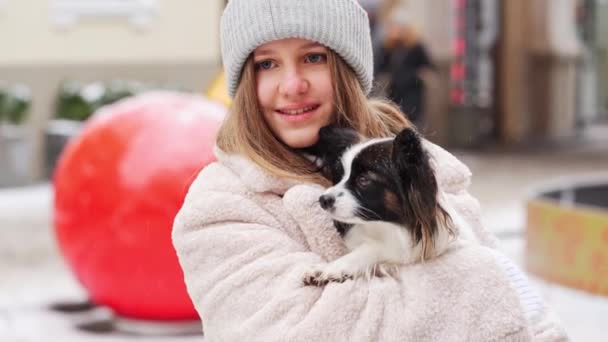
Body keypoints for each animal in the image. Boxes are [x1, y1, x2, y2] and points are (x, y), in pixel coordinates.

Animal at [300, 125, 476, 286]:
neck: (386, 226)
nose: (323, 199)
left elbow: (372, 249)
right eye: (340, 176)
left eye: (363, 180)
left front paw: (332, 268)